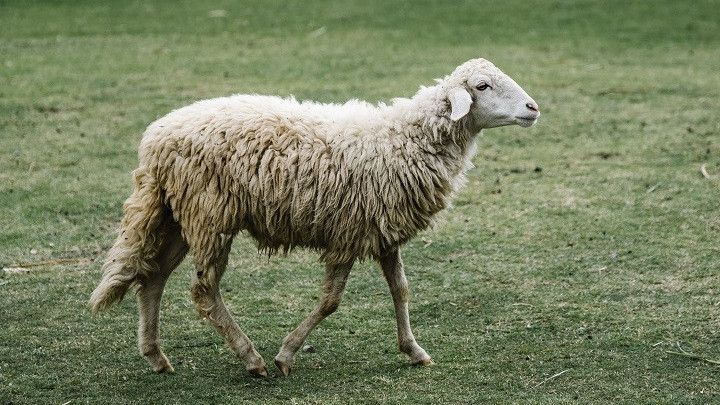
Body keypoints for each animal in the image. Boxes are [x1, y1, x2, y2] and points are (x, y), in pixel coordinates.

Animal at [90, 56, 540, 376]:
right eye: (482, 86)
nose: (533, 108)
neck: (403, 140)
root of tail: (154, 140)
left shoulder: (382, 230)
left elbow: (401, 290)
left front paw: (413, 350)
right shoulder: (348, 234)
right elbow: (330, 301)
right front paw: (286, 354)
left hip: (180, 216)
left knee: (153, 278)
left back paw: (157, 357)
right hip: (209, 214)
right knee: (203, 291)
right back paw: (251, 359)